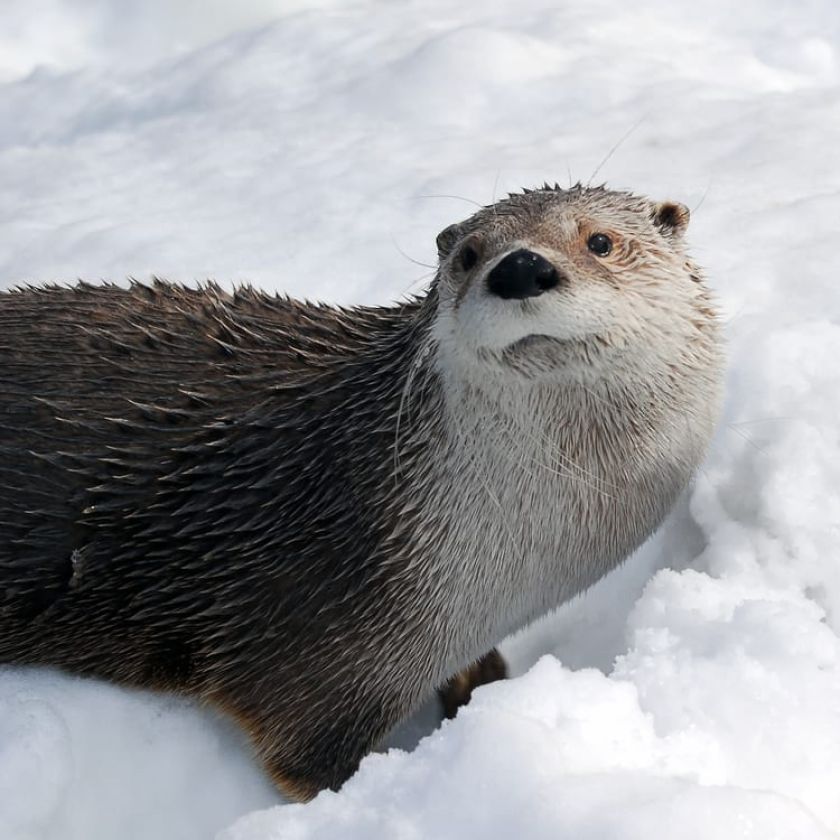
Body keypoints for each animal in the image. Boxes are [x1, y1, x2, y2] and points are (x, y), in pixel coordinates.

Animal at [0, 184, 723, 800]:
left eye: (600, 240)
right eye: (468, 255)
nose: (519, 268)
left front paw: (480, 684)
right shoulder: (319, 648)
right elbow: (306, 760)